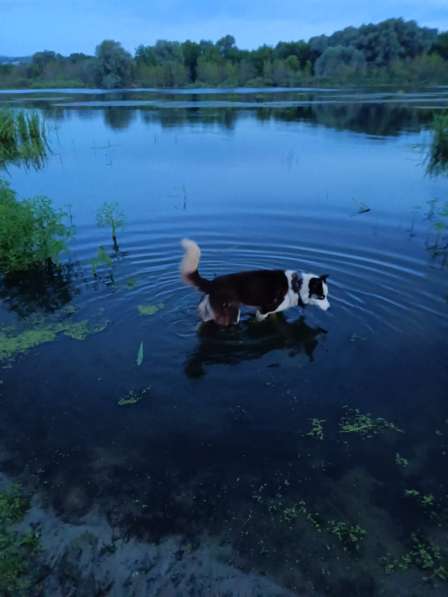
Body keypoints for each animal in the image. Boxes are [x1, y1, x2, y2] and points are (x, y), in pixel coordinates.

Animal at [180, 239, 330, 326]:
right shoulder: (263, 310)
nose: (329, 308)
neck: (297, 285)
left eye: (326, 296)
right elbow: (258, 321)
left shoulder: (272, 311)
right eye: (322, 296)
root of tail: (211, 284)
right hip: (231, 314)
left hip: (207, 313)